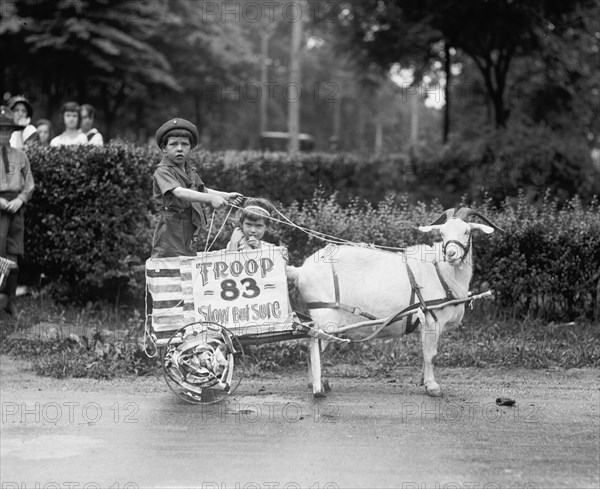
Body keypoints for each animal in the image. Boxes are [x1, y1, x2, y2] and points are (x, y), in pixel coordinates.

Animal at [286, 207, 502, 396]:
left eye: (467, 232)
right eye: (442, 233)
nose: (451, 254)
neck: (440, 271)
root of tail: (300, 271)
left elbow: (425, 353)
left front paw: (423, 380)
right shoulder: (432, 319)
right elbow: (431, 354)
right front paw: (432, 387)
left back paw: (318, 382)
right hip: (326, 318)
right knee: (313, 348)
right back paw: (317, 384)